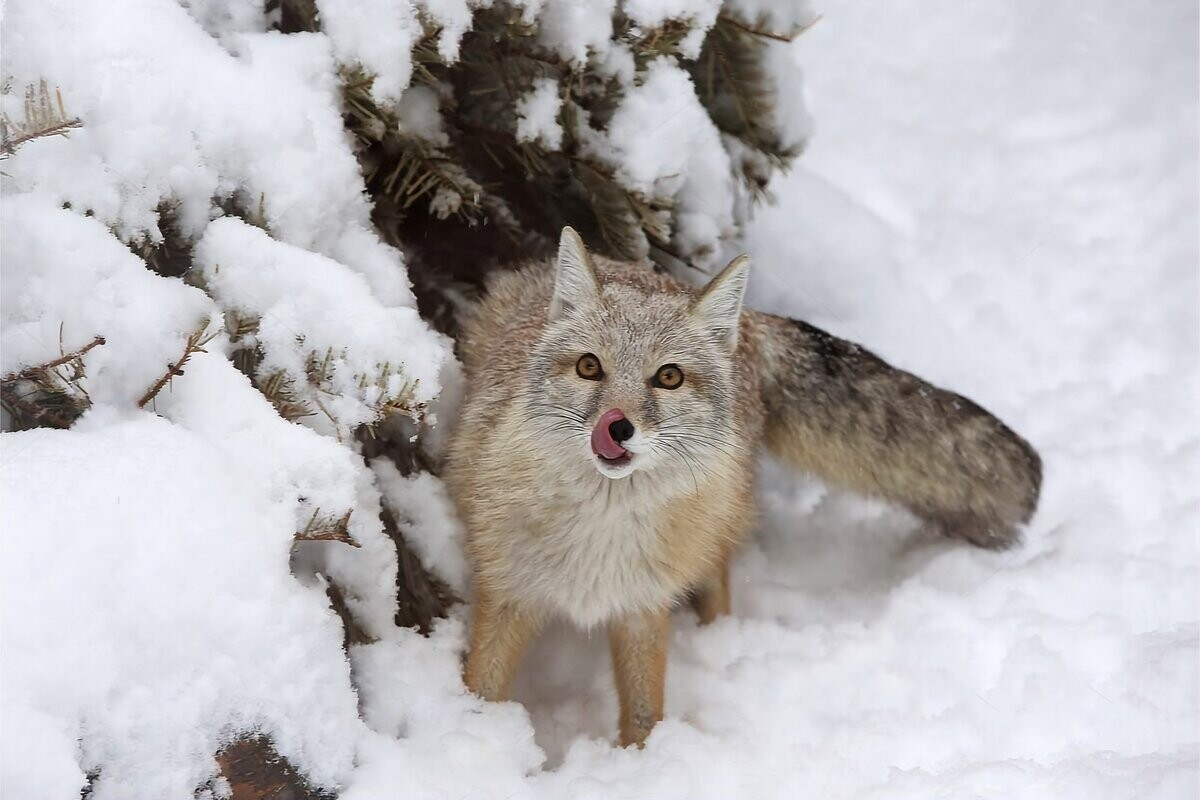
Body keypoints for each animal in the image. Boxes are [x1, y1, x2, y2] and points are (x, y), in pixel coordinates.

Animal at [444, 226, 1041, 753]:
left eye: (668, 377)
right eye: (590, 366)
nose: (617, 427)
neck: (600, 535)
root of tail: (744, 321)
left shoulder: (641, 607)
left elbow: (644, 714)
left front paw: (641, 764)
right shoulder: (508, 593)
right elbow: (483, 686)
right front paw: (477, 739)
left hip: (718, 523)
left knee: (718, 576)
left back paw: (720, 641)